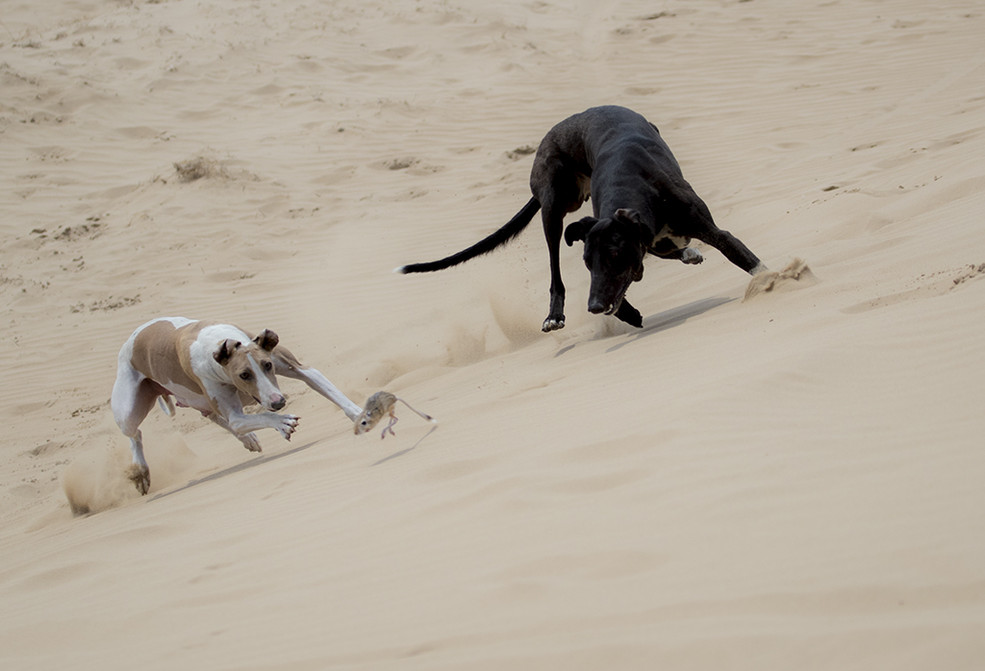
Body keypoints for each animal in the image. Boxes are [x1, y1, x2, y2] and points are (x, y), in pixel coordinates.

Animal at [111, 318, 364, 496]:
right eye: (244, 374)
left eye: (267, 364)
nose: (279, 402)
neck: (222, 344)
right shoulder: (234, 411)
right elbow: (255, 417)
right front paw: (283, 422)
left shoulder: (299, 369)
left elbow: (332, 392)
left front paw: (362, 417)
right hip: (128, 411)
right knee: (135, 434)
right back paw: (141, 471)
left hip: (196, 399)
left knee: (212, 416)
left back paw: (248, 439)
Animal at [396, 105, 764, 334]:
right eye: (587, 262)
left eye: (615, 254)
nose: (595, 307)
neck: (631, 187)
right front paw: (628, 312)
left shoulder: (711, 231)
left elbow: (744, 257)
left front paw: (771, 280)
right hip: (553, 206)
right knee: (555, 272)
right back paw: (555, 316)